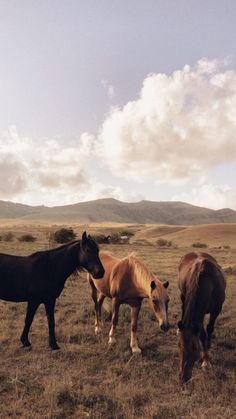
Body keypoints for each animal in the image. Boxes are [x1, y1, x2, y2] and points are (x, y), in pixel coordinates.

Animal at [178, 253, 226, 384]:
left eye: (195, 348)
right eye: (179, 345)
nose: (183, 377)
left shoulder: (216, 310)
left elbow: (209, 328)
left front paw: (206, 360)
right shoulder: (199, 315)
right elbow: (202, 334)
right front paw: (205, 358)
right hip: (183, 297)